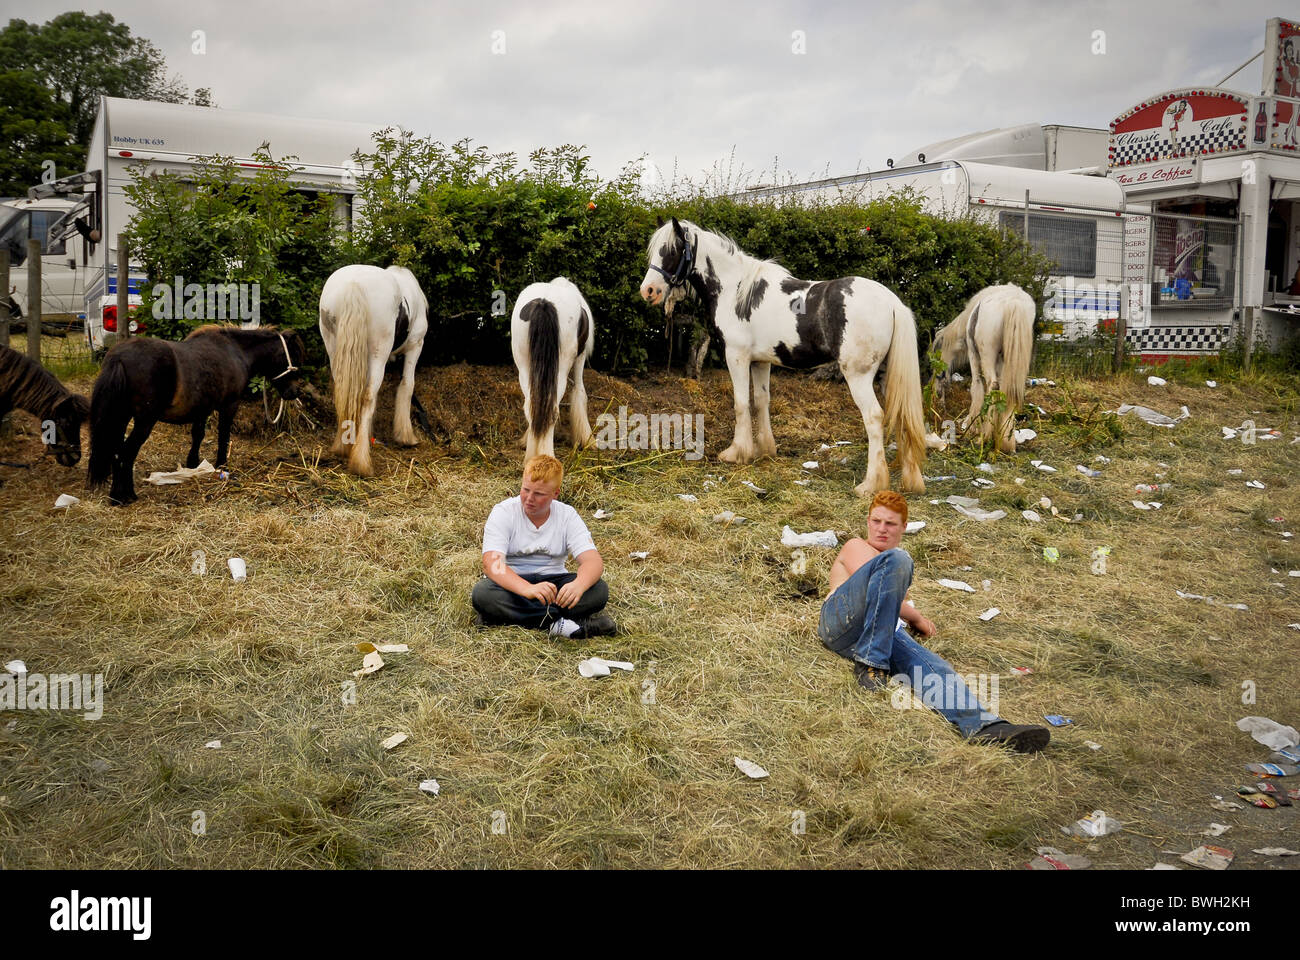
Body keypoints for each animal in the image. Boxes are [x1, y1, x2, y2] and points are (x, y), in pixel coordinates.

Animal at [86, 325, 306, 505]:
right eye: (292, 357)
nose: (294, 392)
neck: (235, 351)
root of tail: (119, 357)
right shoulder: (229, 405)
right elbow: (223, 435)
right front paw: (222, 466)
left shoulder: (202, 409)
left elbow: (198, 434)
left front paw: (193, 464)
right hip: (144, 421)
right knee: (126, 453)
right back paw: (123, 496)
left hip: (121, 418)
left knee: (117, 451)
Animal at [318, 264, 428, 477]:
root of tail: (354, 284)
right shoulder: (416, 345)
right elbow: (407, 385)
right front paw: (406, 436)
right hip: (379, 351)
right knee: (368, 396)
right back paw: (361, 463)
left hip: (334, 347)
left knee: (344, 393)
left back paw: (343, 446)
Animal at [510, 277, 594, 463]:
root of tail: (544, 302)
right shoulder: (581, 356)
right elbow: (580, 391)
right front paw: (587, 439)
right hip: (560, 371)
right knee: (552, 410)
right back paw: (547, 456)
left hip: (524, 368)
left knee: (532, 407)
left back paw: (531, 457)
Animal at [639, 217, 926, 496]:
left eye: (671, 250)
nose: (648, 290)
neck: (736, 290)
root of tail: (892, 302)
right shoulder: (760, 361)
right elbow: (760, 401)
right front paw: (764, 449)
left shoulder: (737, 357)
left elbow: (741, 403)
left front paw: (736, 452)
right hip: (888, 376)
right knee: (902, 415)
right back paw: (909, 479)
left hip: (858, 376)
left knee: (874, 418)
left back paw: (870, 484)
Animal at [932, 284, 1035, 453]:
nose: (937, 397)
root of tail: (1013, 302)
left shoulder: (973, 354)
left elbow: (976, 387)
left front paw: (971, 425)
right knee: (1008, 391)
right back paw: (1006, 441)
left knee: (992, 386)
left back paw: (984, 438)